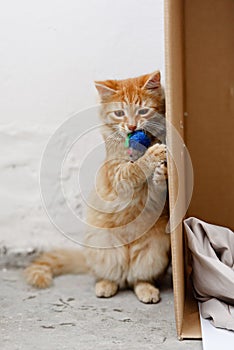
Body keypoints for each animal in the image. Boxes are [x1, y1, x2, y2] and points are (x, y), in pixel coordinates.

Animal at [25, 72, 170, 304]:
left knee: (137, 278)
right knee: (110, 276)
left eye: (142, 111)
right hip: (104, 251)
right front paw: (151, 156)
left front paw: (161, 171)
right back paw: (105, 286)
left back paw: (146, 290)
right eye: (119, 113)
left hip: (153, 255)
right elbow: (133, 170)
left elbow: (159, 185)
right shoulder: (117, 177)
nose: (131, 127)